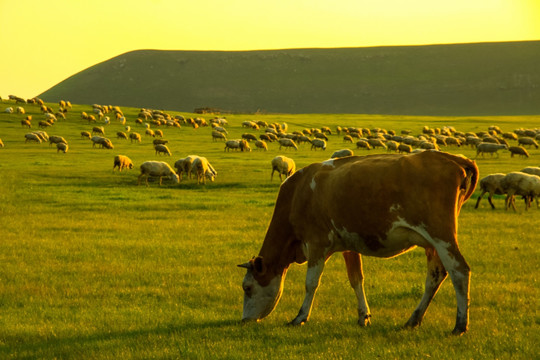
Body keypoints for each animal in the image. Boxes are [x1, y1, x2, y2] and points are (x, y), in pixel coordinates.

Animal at [238, 150, 478, 336]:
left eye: (247, 288)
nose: (243, 320)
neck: (299, 193)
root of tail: (453, 158)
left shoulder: (316, 242)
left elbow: (311, 283)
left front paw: (300, 317)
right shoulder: (348, 245)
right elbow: (356, 279)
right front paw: (364, 316)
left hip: (441, 235)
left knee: (459, 271)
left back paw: (460, 325)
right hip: (432, 243)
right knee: (435, 276)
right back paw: (413, 319)